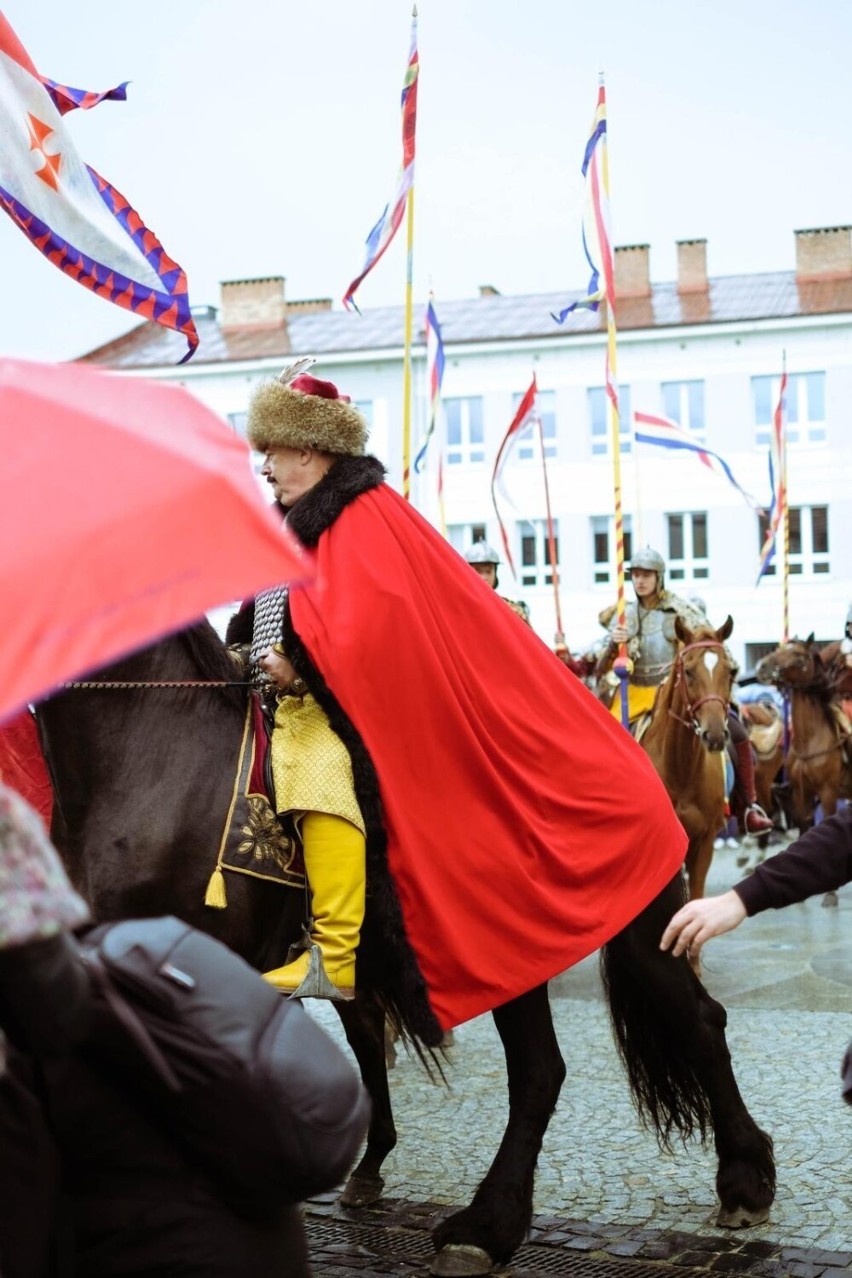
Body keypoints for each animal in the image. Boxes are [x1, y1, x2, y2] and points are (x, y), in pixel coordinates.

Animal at [756, 636, 848, 833]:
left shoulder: (828, 793)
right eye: (779, 649)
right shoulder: (801, 795)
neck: (810, 740)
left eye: (799, 657)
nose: (763, 667)